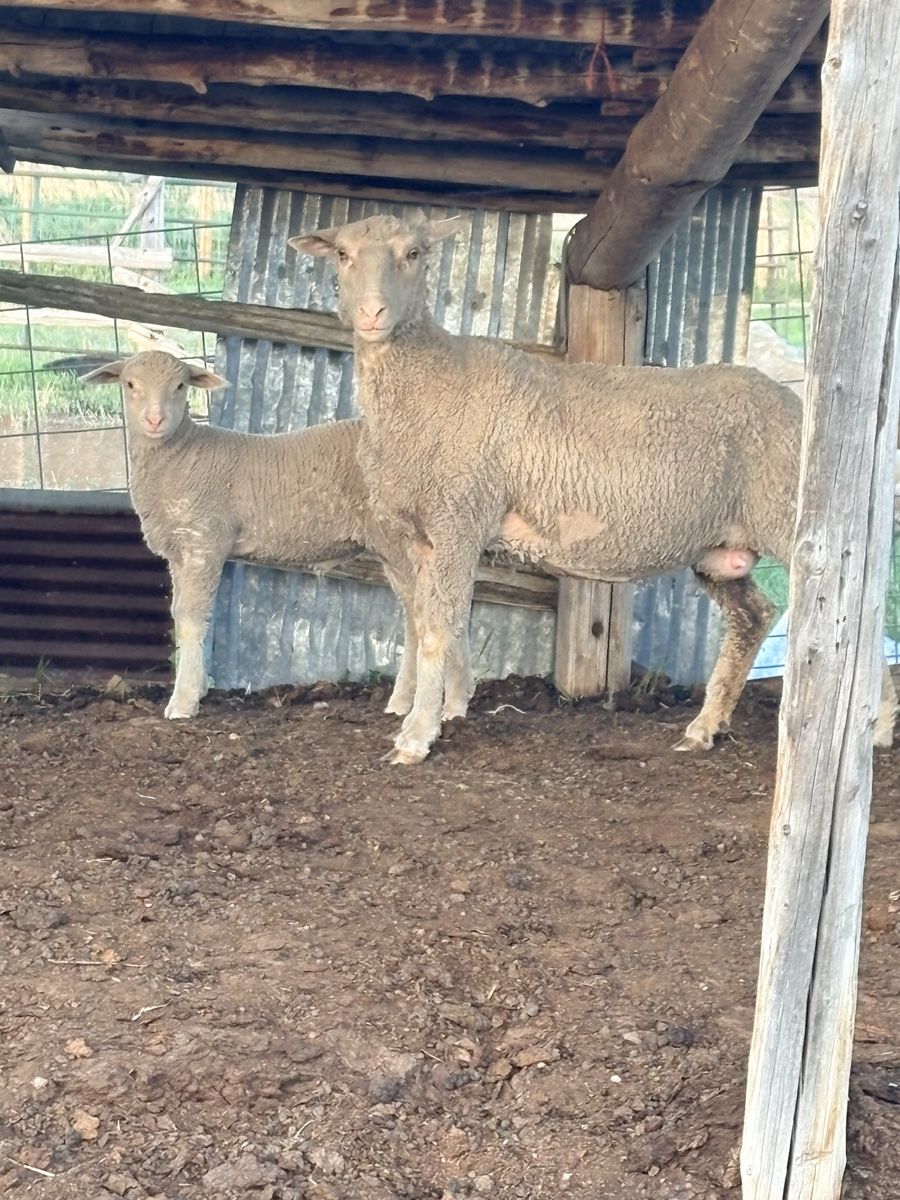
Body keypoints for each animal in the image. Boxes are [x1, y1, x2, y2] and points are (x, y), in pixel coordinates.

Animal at [80, 350, 473, 723]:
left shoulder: (204, 539)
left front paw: (184, 701)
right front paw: (197, 689)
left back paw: (424, 701)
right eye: (130, 384)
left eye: (180, 386)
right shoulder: (180, 550)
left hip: (399, 539)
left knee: (425, 613)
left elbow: (192, 618)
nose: (154, 420)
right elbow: (180, 615)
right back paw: (446, 702)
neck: (181, 455)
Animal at [288, 213, 899, 764]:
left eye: (414, 253)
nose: (372, 314)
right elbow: (422, 622)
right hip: (721, 547)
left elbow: (439, 627)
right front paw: (437, 713)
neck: (430, 381)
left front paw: (417, 739)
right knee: (753, 616)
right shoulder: (421, 532)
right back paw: (703, 728)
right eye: (342, 254)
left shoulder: (459, 516)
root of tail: (794, 400)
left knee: (855, 621)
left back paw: (878, 727)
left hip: (787, 512)